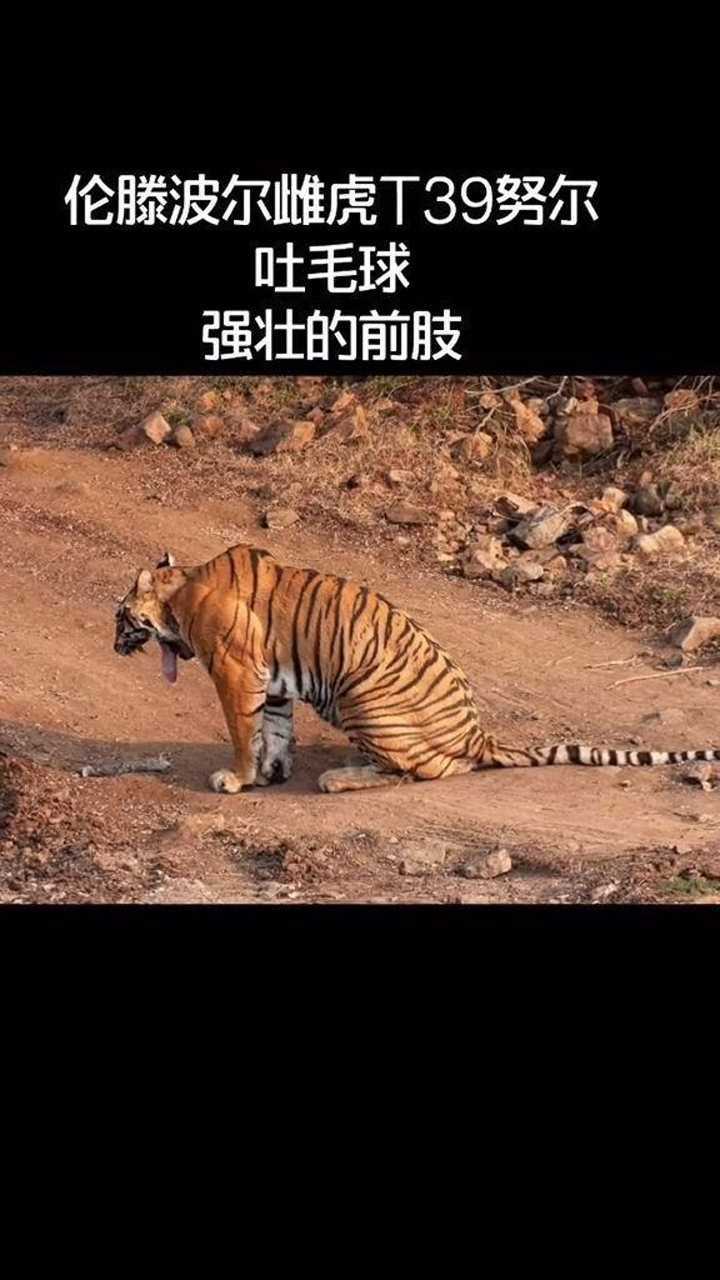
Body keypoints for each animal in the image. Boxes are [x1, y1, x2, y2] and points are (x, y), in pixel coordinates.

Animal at [114, 543, 720, 795]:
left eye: (120, 616)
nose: (114, 643)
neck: (180, 593)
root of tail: (480, 737)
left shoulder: (236, 674)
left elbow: (245, 733)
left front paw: (237, 778)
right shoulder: (274, 682)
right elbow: (275, 732)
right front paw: (269, 773)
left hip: (361, 698)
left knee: (424, 771)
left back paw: (339, 778)